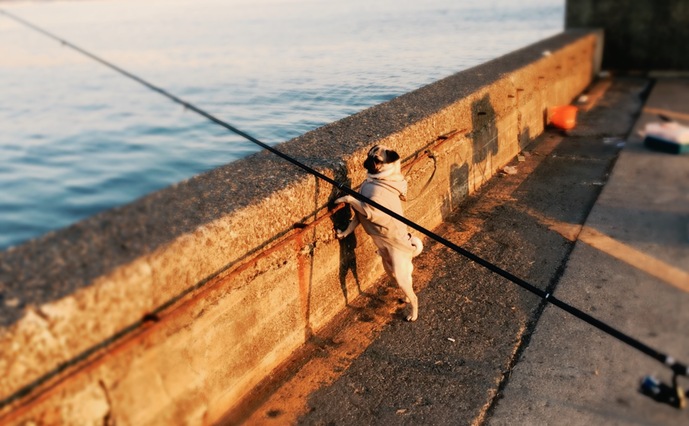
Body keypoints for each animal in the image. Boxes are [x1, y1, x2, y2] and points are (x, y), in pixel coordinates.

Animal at [334, 145, 424, 322]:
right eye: (368, 155)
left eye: (377, 159)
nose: (365, 161)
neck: (383, 179)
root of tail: (410, 252)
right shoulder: (359, 215)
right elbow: (350, 226)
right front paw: (343, 234)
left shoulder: (369, 210)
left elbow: (350, 197)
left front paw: (341, 198)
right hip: (392, 270)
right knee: (407, 287)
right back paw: (405, 298)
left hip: (399, 274)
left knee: (415, 297)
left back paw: (413, 314)